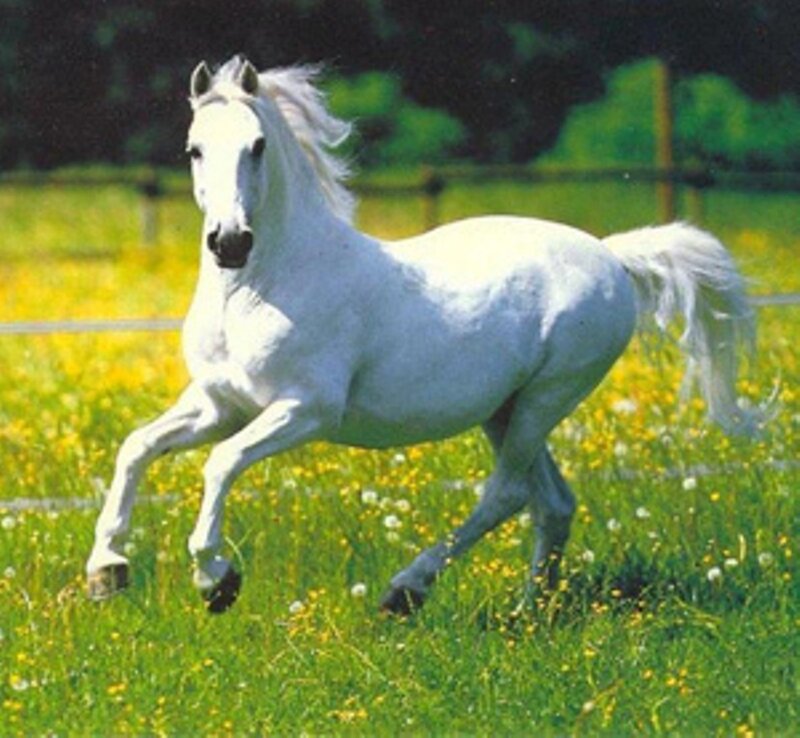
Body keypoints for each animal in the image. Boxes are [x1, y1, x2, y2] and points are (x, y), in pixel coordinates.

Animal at [86, 55, 763, 615]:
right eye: (194, 148)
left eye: (256, 145)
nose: (229, 242)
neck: (260, 288)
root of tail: (613, 257)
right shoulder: (219, 403)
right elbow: (136, 447)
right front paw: (107, 571)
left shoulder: (305, 409)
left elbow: (221, 463)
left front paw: (217, 580)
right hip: (505, 409)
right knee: (552, 502)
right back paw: (528, 613)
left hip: (547, 397)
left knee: (507, 494)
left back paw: (406, 591)